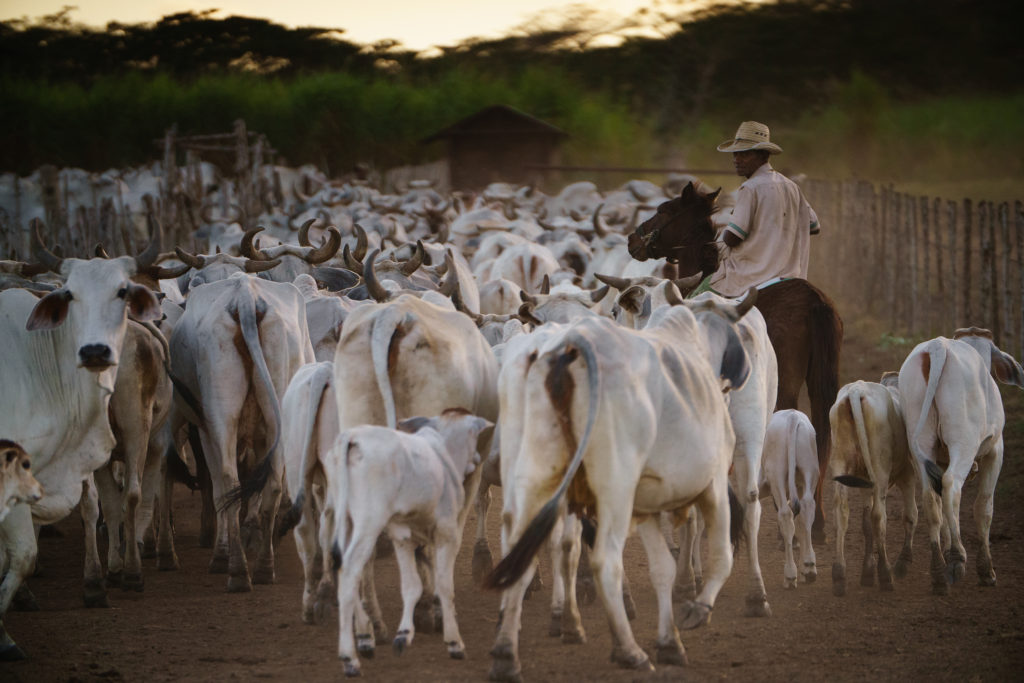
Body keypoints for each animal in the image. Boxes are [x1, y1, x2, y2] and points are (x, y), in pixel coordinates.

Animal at [626, 180, 843, 540]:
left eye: (664, 210)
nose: (633, 239)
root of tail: (814, 301)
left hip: (784, 382)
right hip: (821, 379)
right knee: (821, 430)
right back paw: (818, 521)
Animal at [761, 409, 815, 589]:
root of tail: (792, 417)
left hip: (776, 475)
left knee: (785, 515)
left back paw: (790, 574)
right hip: (810, 471)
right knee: (806, 510)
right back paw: (809, 566)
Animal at [827, 376, 917, 593]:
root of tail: (856, 391)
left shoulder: (863, 484)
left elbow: (865, 523)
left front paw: (867, 571)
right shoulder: (907, 474)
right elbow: (910, 515)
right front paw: (902, 563)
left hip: (841, 463)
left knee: (841, 512)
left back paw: (839, 574)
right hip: (879, 469)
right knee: (879, 517)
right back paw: (885, 573)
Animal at [897, 329, 1024, 593]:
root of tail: (938, 347)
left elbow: (946, 512)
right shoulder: (995, 451)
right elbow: (984, 507)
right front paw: (986, 570)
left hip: (921, 443)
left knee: (931, 498)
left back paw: (938, 572)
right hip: (963, 444)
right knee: (951, 485)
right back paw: (957, 558)